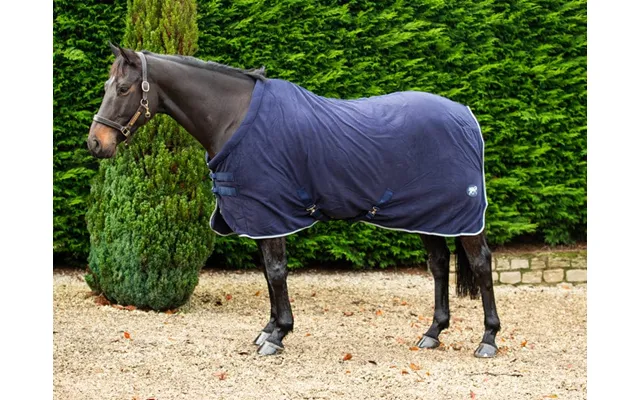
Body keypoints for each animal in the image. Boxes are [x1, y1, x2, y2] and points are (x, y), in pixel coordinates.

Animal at [87, 44, 501, 358]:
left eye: (123, 88)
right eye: (107, 85)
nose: (95, 143)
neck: (234, 117)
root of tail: (466, 116)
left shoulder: (270, 213)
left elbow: (275, 272)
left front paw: (277, 335)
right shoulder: (259, 215)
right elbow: (268, 274)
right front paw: (268, 328)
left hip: (460, 217)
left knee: (481, 264)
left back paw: (488, 339)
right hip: (430, 215)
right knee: (439, 265)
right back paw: (432, 333)